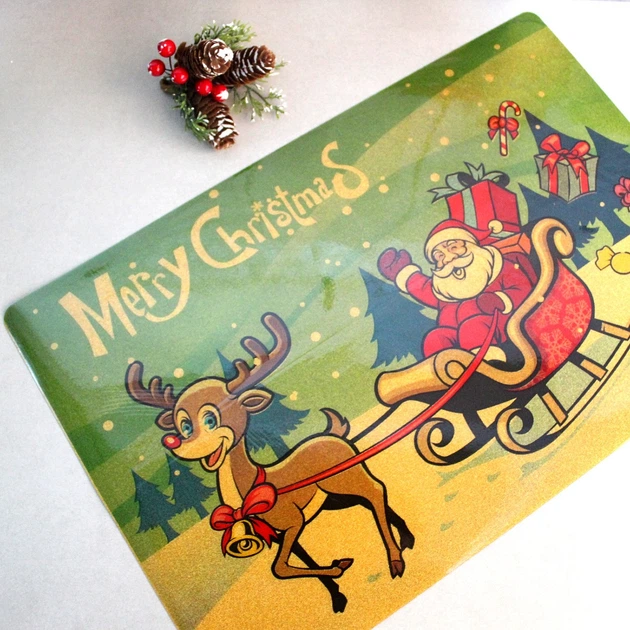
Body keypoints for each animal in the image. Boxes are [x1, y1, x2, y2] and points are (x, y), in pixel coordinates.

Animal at [125, 312, 414, 613]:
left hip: (347, 478)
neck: (251, 488)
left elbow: (279, 568)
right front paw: (337, 590)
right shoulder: (280, 531)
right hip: (334, 497)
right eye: (184, 425)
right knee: (371, 499)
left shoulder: (293, 521)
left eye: (210, 419)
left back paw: (396, 559)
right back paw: (408, 538)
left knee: (376, 490)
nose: (176, 443)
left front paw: (338, 570)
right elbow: (294, 562)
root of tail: (334, 435)